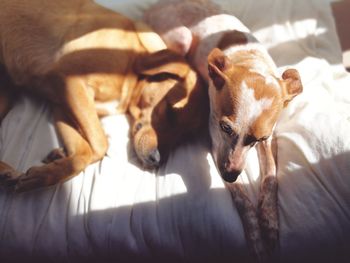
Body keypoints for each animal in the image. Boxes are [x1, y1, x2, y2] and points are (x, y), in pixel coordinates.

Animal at [145, 0, 304, 262]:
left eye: (261, 137)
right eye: (225, 127)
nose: (229, 175)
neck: (251, 63)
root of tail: (154, 6)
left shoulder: (268, 139)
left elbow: (270, 175)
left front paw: (269, 222)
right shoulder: (215, 145)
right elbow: (241, 199)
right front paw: (256, 237)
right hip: (182, 37)